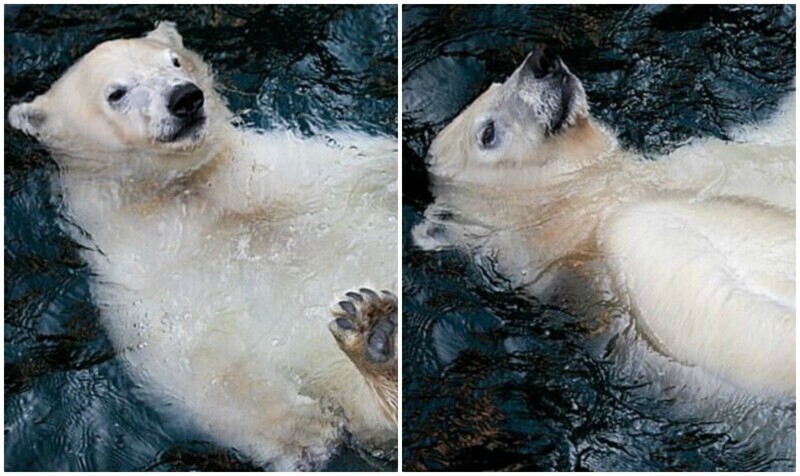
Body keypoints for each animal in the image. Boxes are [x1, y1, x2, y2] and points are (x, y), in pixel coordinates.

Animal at [8, 21, 400, 468]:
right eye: (117, 93)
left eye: (174, 62)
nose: (185, 97)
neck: (189, 194)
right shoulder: (140, 281)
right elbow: (198, 368)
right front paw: (306, 433)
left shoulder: (294, 167)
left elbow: (372, 162)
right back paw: (374, 337)